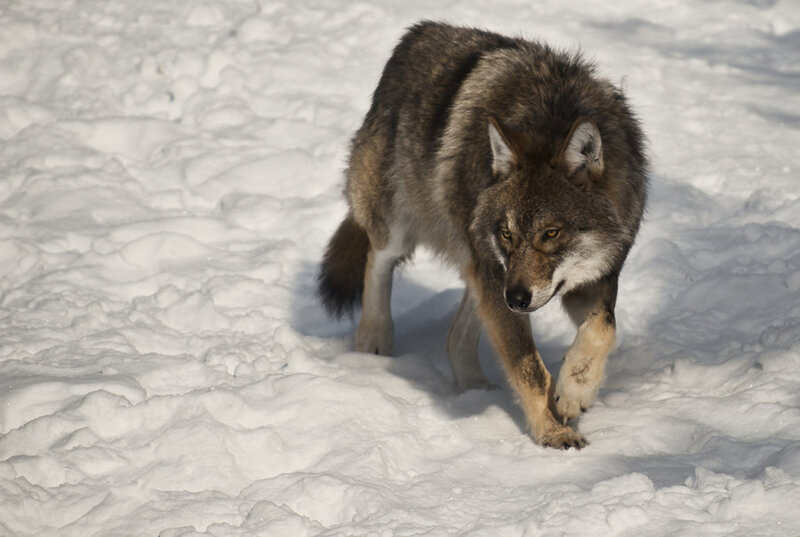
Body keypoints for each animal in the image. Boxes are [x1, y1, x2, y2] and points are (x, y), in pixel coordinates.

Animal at [318, 21, 648, 449]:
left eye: (551, 233)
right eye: (507, 233)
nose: (517, 298)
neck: (551, 113)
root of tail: (418, 32)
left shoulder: (592, 279)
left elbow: (604, 328)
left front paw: (574, 393)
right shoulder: (498, 276)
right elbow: (530, 369)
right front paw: (553, 431)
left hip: (482, 271)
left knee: (456, 335)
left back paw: (474, 388)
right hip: (410, 232)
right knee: (378, 259)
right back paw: (374, 344)